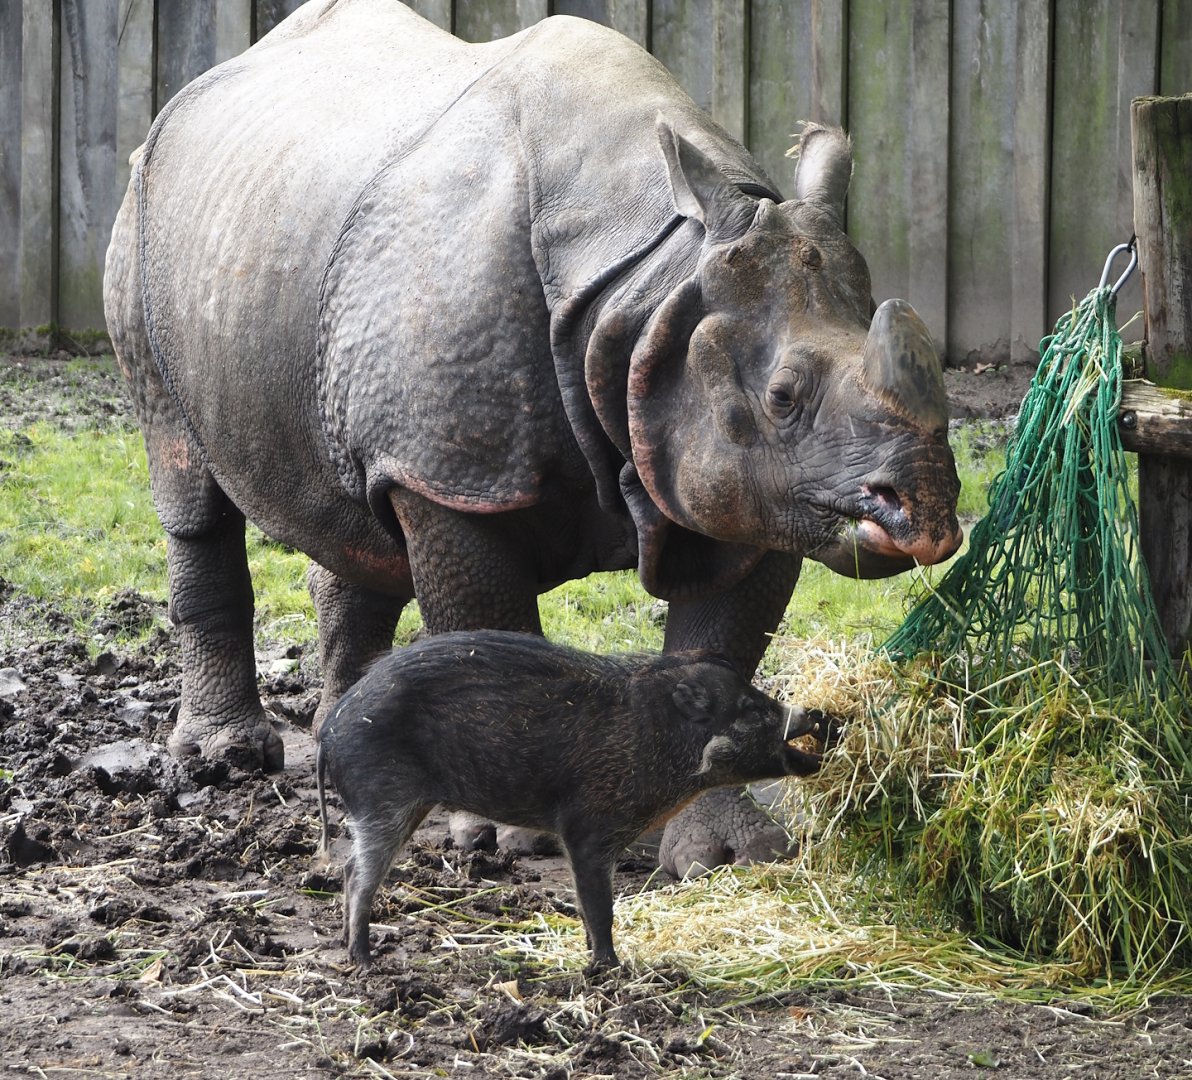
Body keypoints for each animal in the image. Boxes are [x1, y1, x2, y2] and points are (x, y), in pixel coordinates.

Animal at [103, 0, 961, 870]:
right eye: (783, 397)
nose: (925, 512)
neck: (651, 284)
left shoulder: (756, 494)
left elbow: (720, 650)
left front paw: (734, 854)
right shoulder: (454, 475)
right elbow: (486, 626)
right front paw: (510, 832)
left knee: (355, 517)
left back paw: (348, 749)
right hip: (143, 216)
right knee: (186, 479)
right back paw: (224, 758)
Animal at [315, 630, 826, 972]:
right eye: (748, 709)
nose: (819, 714)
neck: (655, 739)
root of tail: (329, 728)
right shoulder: (587, 828)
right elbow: (599, 904)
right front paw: (610, 969)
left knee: (348, 868)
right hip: (384, 800)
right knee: (359, 874)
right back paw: (365, 961)